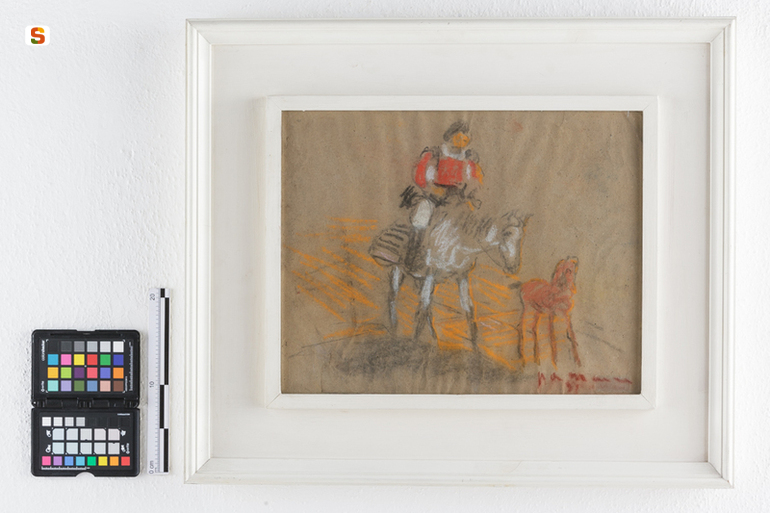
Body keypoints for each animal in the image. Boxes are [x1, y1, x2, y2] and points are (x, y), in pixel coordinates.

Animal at [370, 196, 529, 347]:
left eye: (521, 236)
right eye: (507, 233)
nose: (513, 267)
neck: (459, 242)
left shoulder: (461, 276)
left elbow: (469, 311)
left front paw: (476, 352)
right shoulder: (431, 274)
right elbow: (421, 311)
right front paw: (413, 346)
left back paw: (434, 340)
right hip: (398, 269)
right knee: (393, 298)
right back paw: (395, 331)